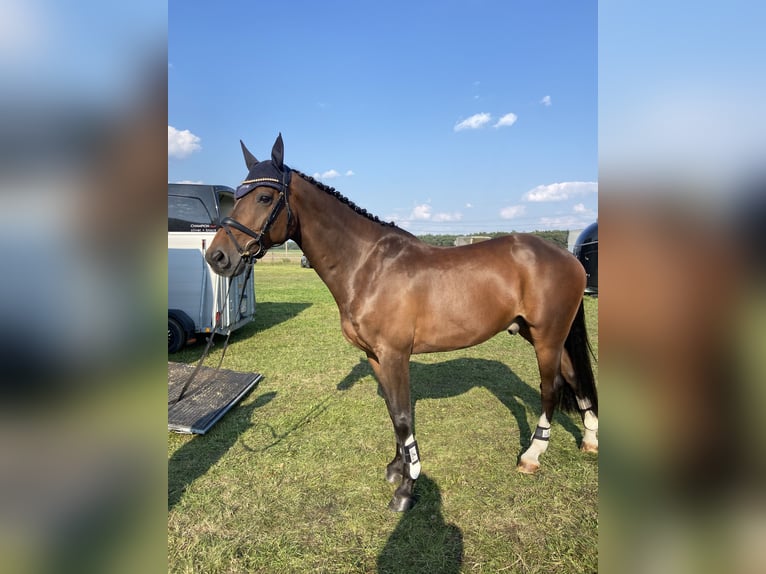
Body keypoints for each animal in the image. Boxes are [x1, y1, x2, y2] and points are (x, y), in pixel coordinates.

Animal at [205, 134, 598, 512]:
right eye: (237, 196)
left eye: (264, 197)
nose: (217, 257)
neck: (368, 266)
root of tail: (566, 257)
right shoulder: (376, 357)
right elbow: (394, 414)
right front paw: (398, 469)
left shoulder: (395, 355)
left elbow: (405, 417)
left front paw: (407, 490)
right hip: (546, 335)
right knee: (574, 376)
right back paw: (590, 438)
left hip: (547, 338)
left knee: (551, 387)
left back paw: (532, 456)